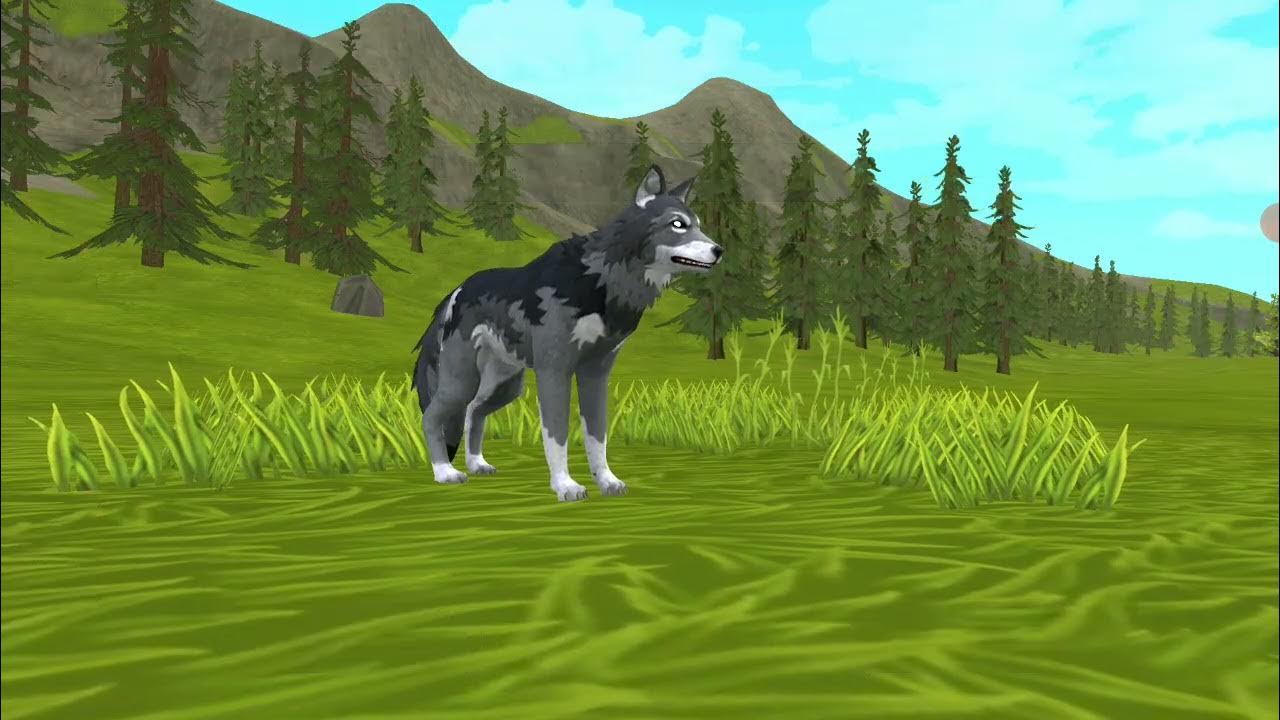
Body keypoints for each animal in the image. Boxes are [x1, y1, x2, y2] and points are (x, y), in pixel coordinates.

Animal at [411, 165, 722, 502]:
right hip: (463, 382)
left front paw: (607, 481)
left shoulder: (596, 374)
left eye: (699, 225)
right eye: (678, 224)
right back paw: (445, 472)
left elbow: (597, 436)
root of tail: (456, 290)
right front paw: (565, 486)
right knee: (432, 417)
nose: (720, 250)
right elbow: (556, 435)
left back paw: (477, 464)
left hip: (504, 387)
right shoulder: (555, 372)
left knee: (472, 413)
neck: (604, 278)